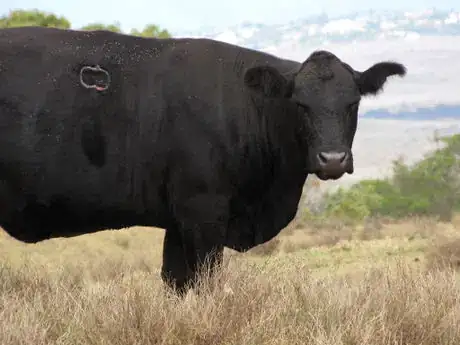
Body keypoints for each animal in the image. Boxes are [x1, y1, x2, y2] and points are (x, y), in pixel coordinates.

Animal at [0, 25, 406, 292]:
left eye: (352, 103)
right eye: (299, 104)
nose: (333, 159)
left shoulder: (178, 221)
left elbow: (176, 282)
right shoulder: (202, 210)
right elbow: (203, 282)